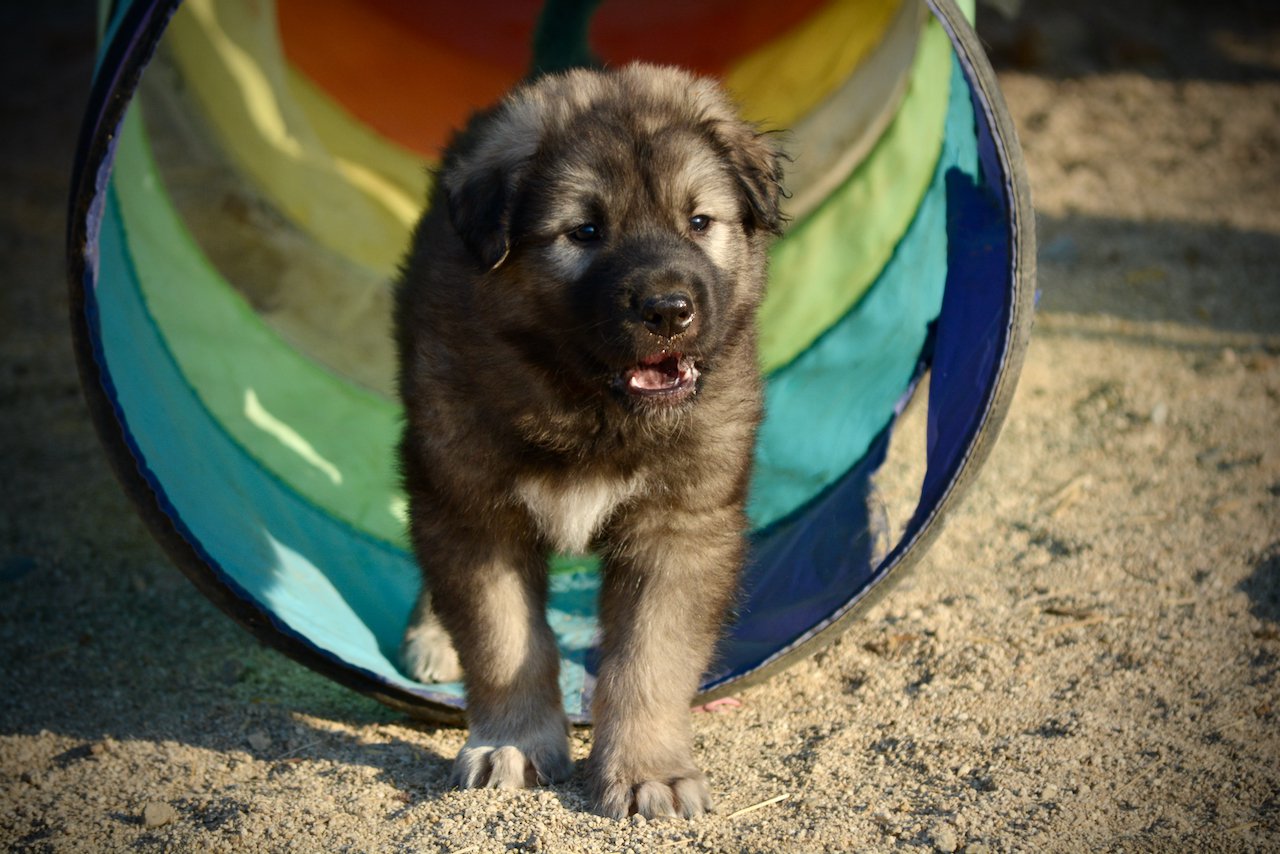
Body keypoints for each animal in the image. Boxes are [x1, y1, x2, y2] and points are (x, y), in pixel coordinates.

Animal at [394, 63, 783, 819]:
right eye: (586, 231)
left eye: (699, 221)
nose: (669, 309)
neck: (591, 405)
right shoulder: (478, 513)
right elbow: (504, 640)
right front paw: (513, 743)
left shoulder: (678, 528)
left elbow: (649, 661)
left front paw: (647, 771)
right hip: (435, 460)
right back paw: (428, 635)